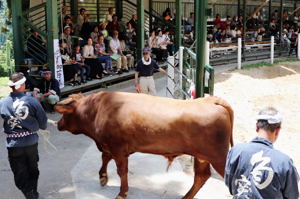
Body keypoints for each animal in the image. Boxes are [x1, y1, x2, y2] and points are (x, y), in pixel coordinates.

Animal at [54, 92, 234, 199]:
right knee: (201, 177)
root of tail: (211, 100)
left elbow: (121, 171)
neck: (98, 109)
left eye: (64, 115)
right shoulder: (110, 146)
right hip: (202, 156)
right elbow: (105, 158)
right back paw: (185, 197)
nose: (58, 124)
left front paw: (122, 193)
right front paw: (103, 177)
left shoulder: (118, 149)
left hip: (219, 157)